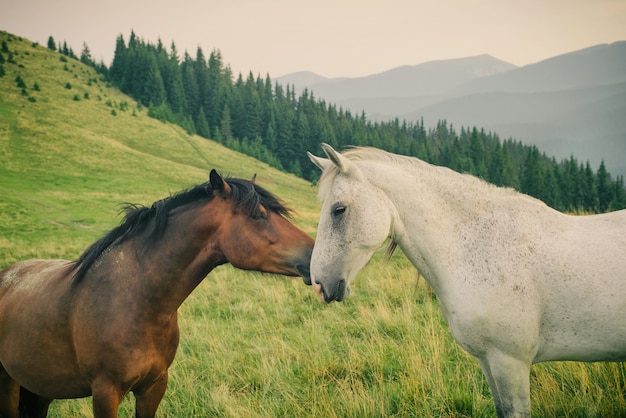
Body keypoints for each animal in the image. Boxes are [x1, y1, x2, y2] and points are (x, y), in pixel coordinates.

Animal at [0, 171, 312, 418]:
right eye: (259, 215)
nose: (314, 255)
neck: (137, 301)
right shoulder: (105, 393)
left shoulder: (154, 386)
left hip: (39, 388)